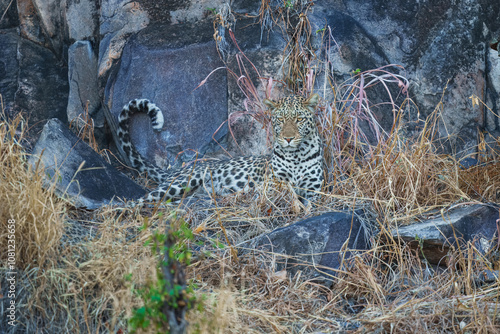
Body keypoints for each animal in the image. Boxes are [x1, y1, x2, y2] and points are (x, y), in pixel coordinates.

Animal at [115, 94, 322, 204]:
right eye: (280, 120)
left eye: (299, 119)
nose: (288, 139)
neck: (296, 156)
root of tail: (181, 168)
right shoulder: (272, 187)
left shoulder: (314, 191)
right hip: (181, 182)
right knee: (140, 200)